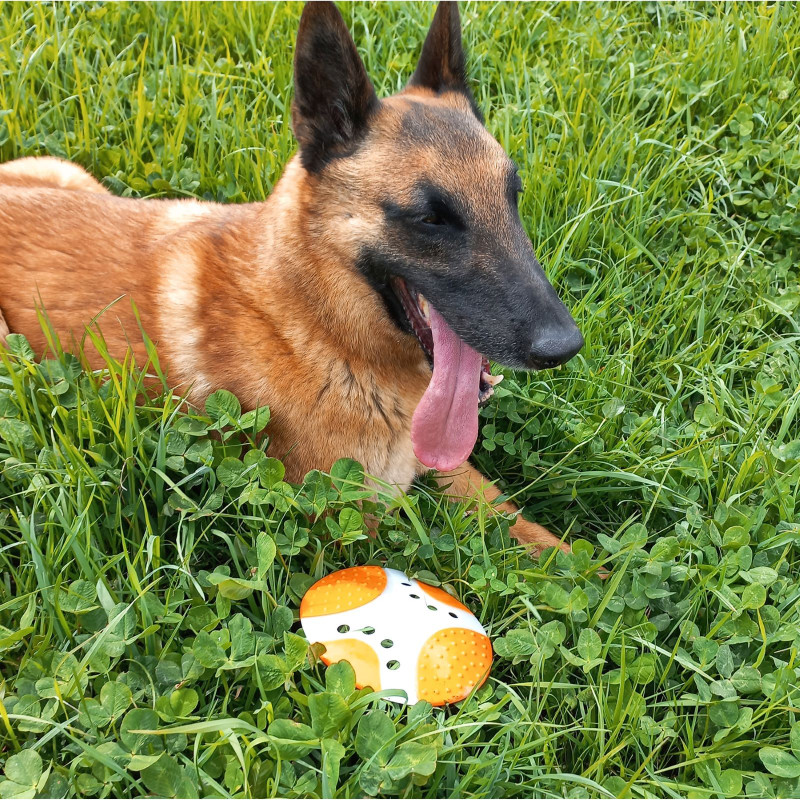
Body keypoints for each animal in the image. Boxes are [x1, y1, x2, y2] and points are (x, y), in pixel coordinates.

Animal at [3, 1, 584, 552]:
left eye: (513, 196)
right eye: (430, 219)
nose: (565, 347)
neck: (318, 330)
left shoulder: (441, 467)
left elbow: (530, 530)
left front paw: (587, 568)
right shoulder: (351, 528)